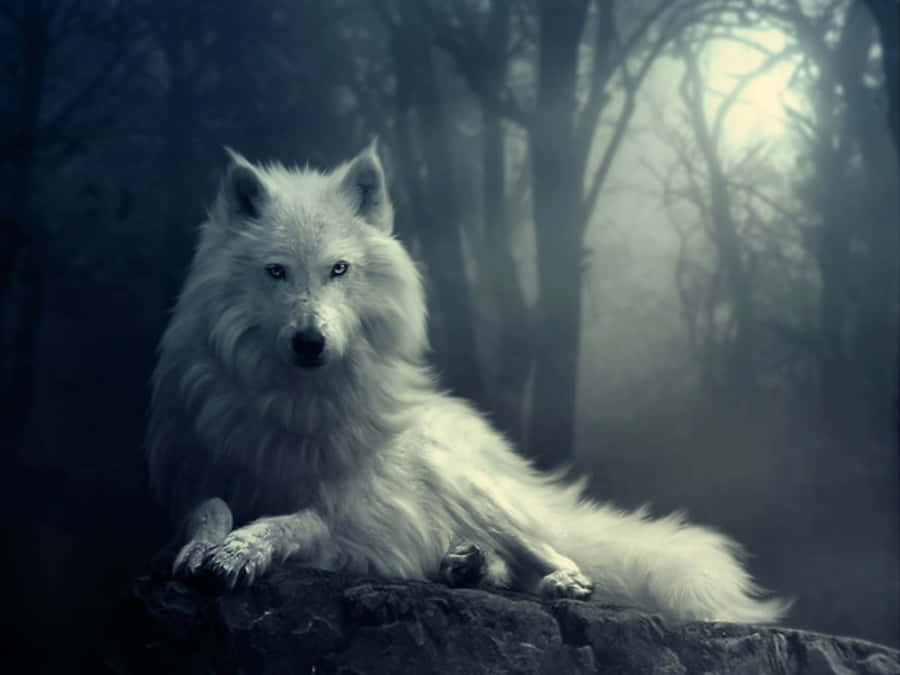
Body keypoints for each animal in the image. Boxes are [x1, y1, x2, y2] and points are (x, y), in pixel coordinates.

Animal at [147, 143, 789, 623]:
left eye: (339, 269)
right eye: (276, 271)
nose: (310, 342)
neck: (296, 403)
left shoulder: (351, 516)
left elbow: (294, 521)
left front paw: (241, 550)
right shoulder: (193, 476)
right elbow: (208, 508)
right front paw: (204, 546)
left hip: (472, 489)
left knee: (556, 554)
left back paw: (557, 582)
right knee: (498, 563)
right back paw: (465, 565)